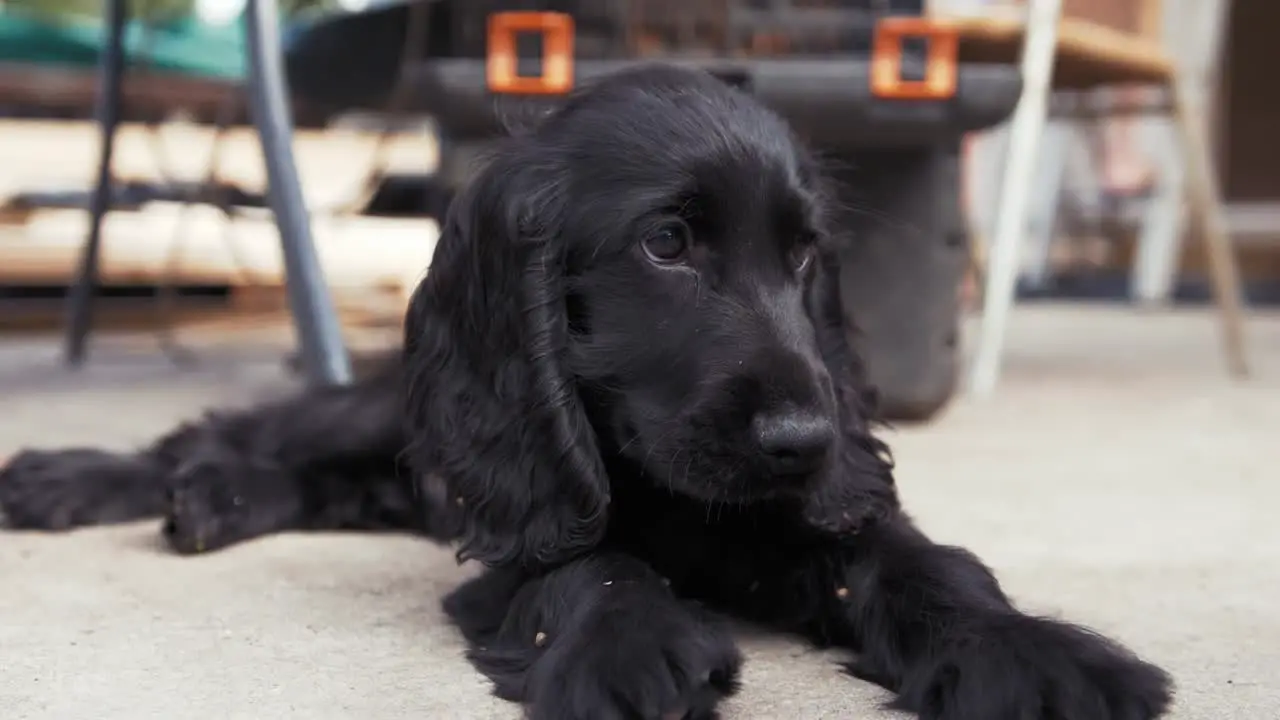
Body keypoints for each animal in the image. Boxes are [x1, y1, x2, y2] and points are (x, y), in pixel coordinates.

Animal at [0, 65, 1172, 717]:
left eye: (803, 255)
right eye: (666, 244)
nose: (804, 436)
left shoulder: (816, 510)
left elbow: (920, 561)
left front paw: (1036, 653)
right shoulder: (525, 510)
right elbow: (586, 562)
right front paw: (630, 649)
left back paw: (214, 496)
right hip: (390, 417)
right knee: (236, 430)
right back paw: (82, 478)